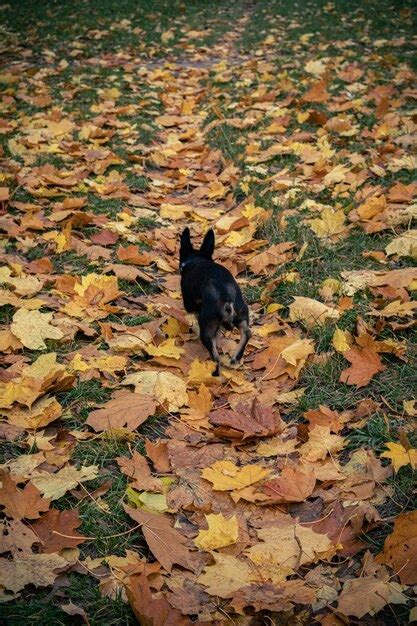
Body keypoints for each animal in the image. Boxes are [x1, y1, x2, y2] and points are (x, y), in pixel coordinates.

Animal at [179, 228, 250, 376]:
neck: (197, 259)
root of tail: (227, 297)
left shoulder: (191, 305)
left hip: (208, 327)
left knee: (216, 357)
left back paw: (214, 374)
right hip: (241, 312)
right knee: (247, 332)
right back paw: (236, 358)